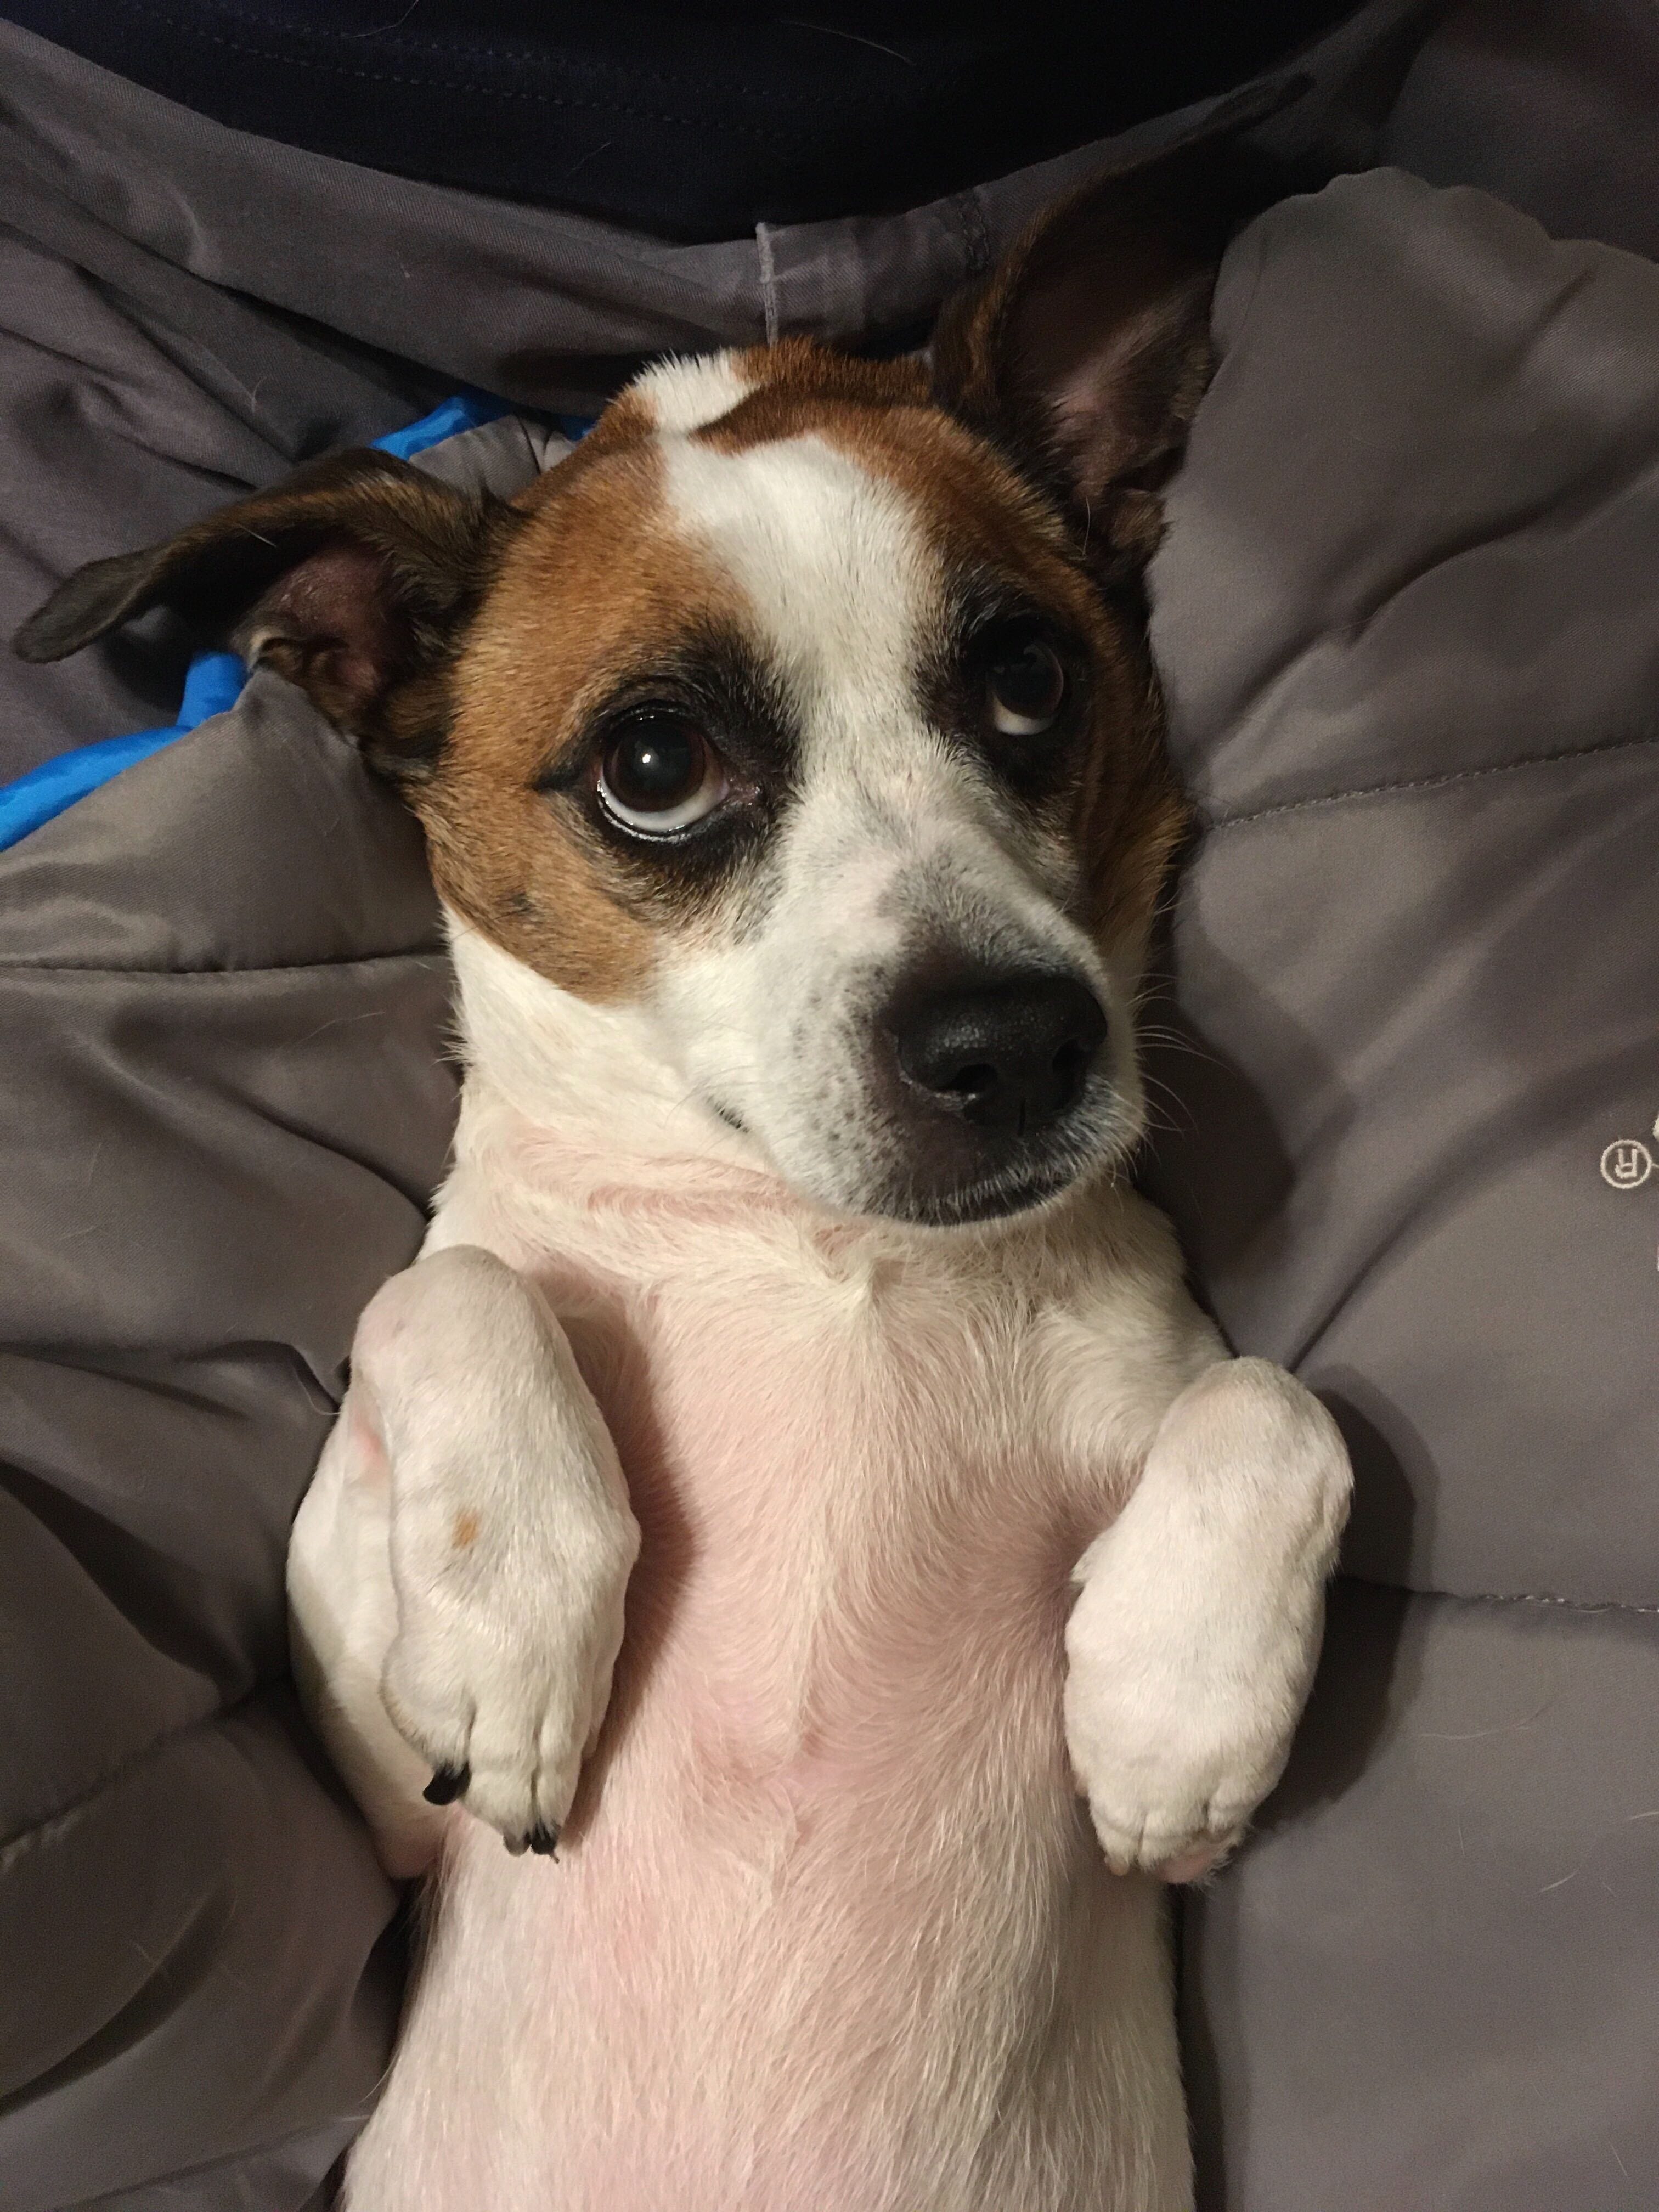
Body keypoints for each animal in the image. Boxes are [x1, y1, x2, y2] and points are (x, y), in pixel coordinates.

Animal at [19, 116, 1353, 2212]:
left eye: (1031, 680)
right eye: (654, 767)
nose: (1020, 1042)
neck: (818, 1250)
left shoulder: (1194, 1397)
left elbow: (1283, 1404)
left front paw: (1166, 1706)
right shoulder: (371, 1774)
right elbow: (447, 1285)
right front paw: (517, 1622)